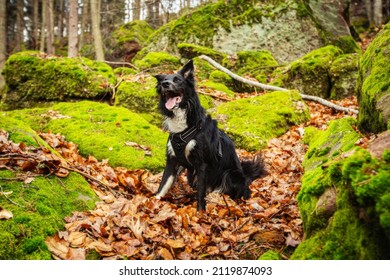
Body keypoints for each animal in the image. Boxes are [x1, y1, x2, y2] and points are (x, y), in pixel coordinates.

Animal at [154, 60, 264, 210]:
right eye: (163, 80)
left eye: (177, 80)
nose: (165, 84)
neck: (183, 128)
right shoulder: (172, 160)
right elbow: (163, 185)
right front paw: (154, 201)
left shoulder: (202, 164)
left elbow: (201, 192)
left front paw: (200, 211)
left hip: (230, 174)